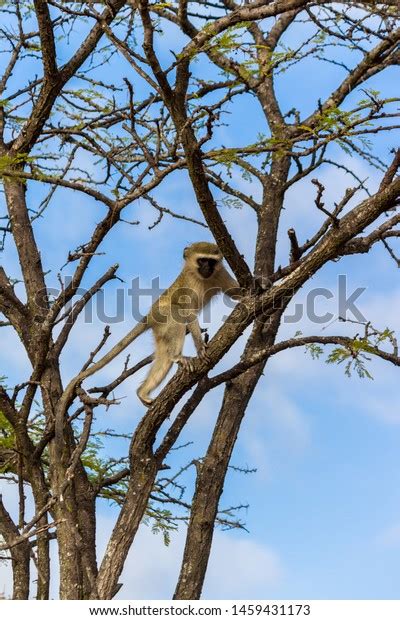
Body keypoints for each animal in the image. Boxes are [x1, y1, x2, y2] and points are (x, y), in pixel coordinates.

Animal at [134, 242, 241, 406]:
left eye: (211, 261)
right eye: (202, 260)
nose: (207, 268)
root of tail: (150, 317)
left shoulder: (221, 273)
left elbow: (238, 293)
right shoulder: (187, 285)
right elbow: (188, 312)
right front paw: (200, 346)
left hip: (160, 331)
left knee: (164, 358)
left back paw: (142, 393)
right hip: (162, 314)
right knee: (177, 314)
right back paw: (177, 356)